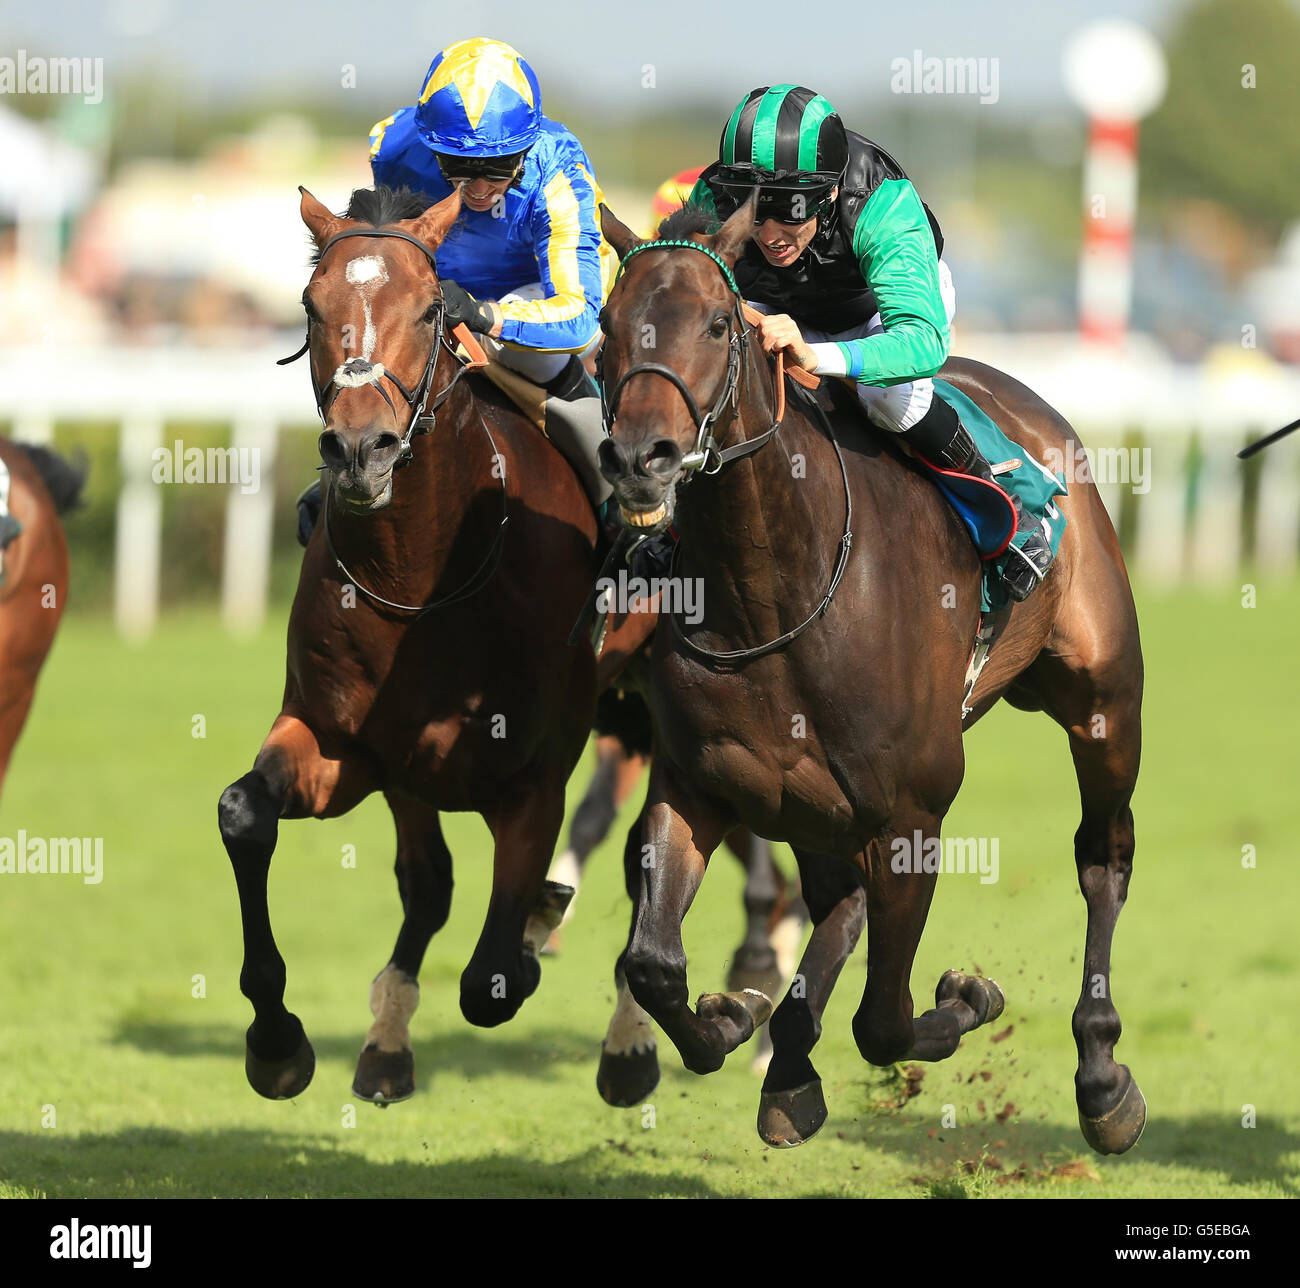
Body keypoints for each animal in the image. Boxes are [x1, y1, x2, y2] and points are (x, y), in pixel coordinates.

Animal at [218, 183, 655, 1107]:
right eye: (311, 306)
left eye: (428, 310)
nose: (360, 449)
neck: (420, 577)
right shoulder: (354, 748)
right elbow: (247, 816)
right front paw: (278, 1043)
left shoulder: (534, 774)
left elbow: (492, 980)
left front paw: (528, 938)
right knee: (431, 886)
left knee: (647, 849)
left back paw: (630, 1042)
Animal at [595, 201, 1144, 1159]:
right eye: (605, 323)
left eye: (718, 322)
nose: (640, 458)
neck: (773, 592)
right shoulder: (699, 783)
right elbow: (654, 962)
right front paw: (734, 1017)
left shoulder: (912, 816)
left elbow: (884, 1022)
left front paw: (968, 995)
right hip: (810, 802)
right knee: (836, 901)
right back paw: (785, 1060)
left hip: (1104, 700)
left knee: (1102, 858)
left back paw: (1104, 1078)